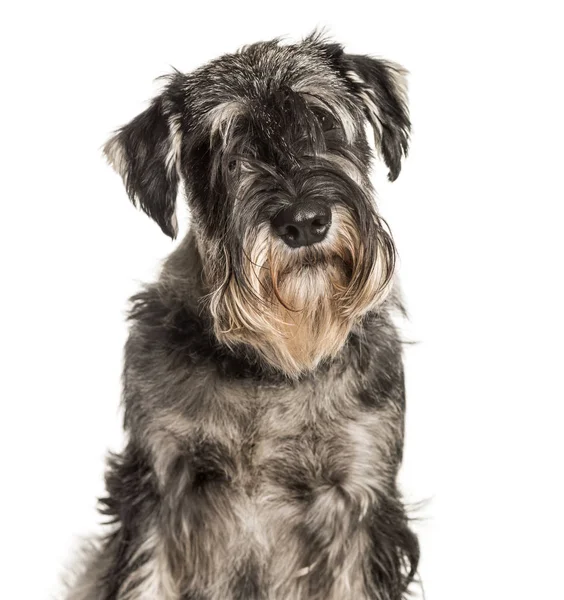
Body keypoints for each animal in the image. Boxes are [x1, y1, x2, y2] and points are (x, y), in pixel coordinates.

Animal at [66, 34, 418, 600]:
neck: (266, 371)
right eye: (226, 153)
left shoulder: (360, 498)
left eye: (324, 123)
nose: (304, 221)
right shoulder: (157, 486)